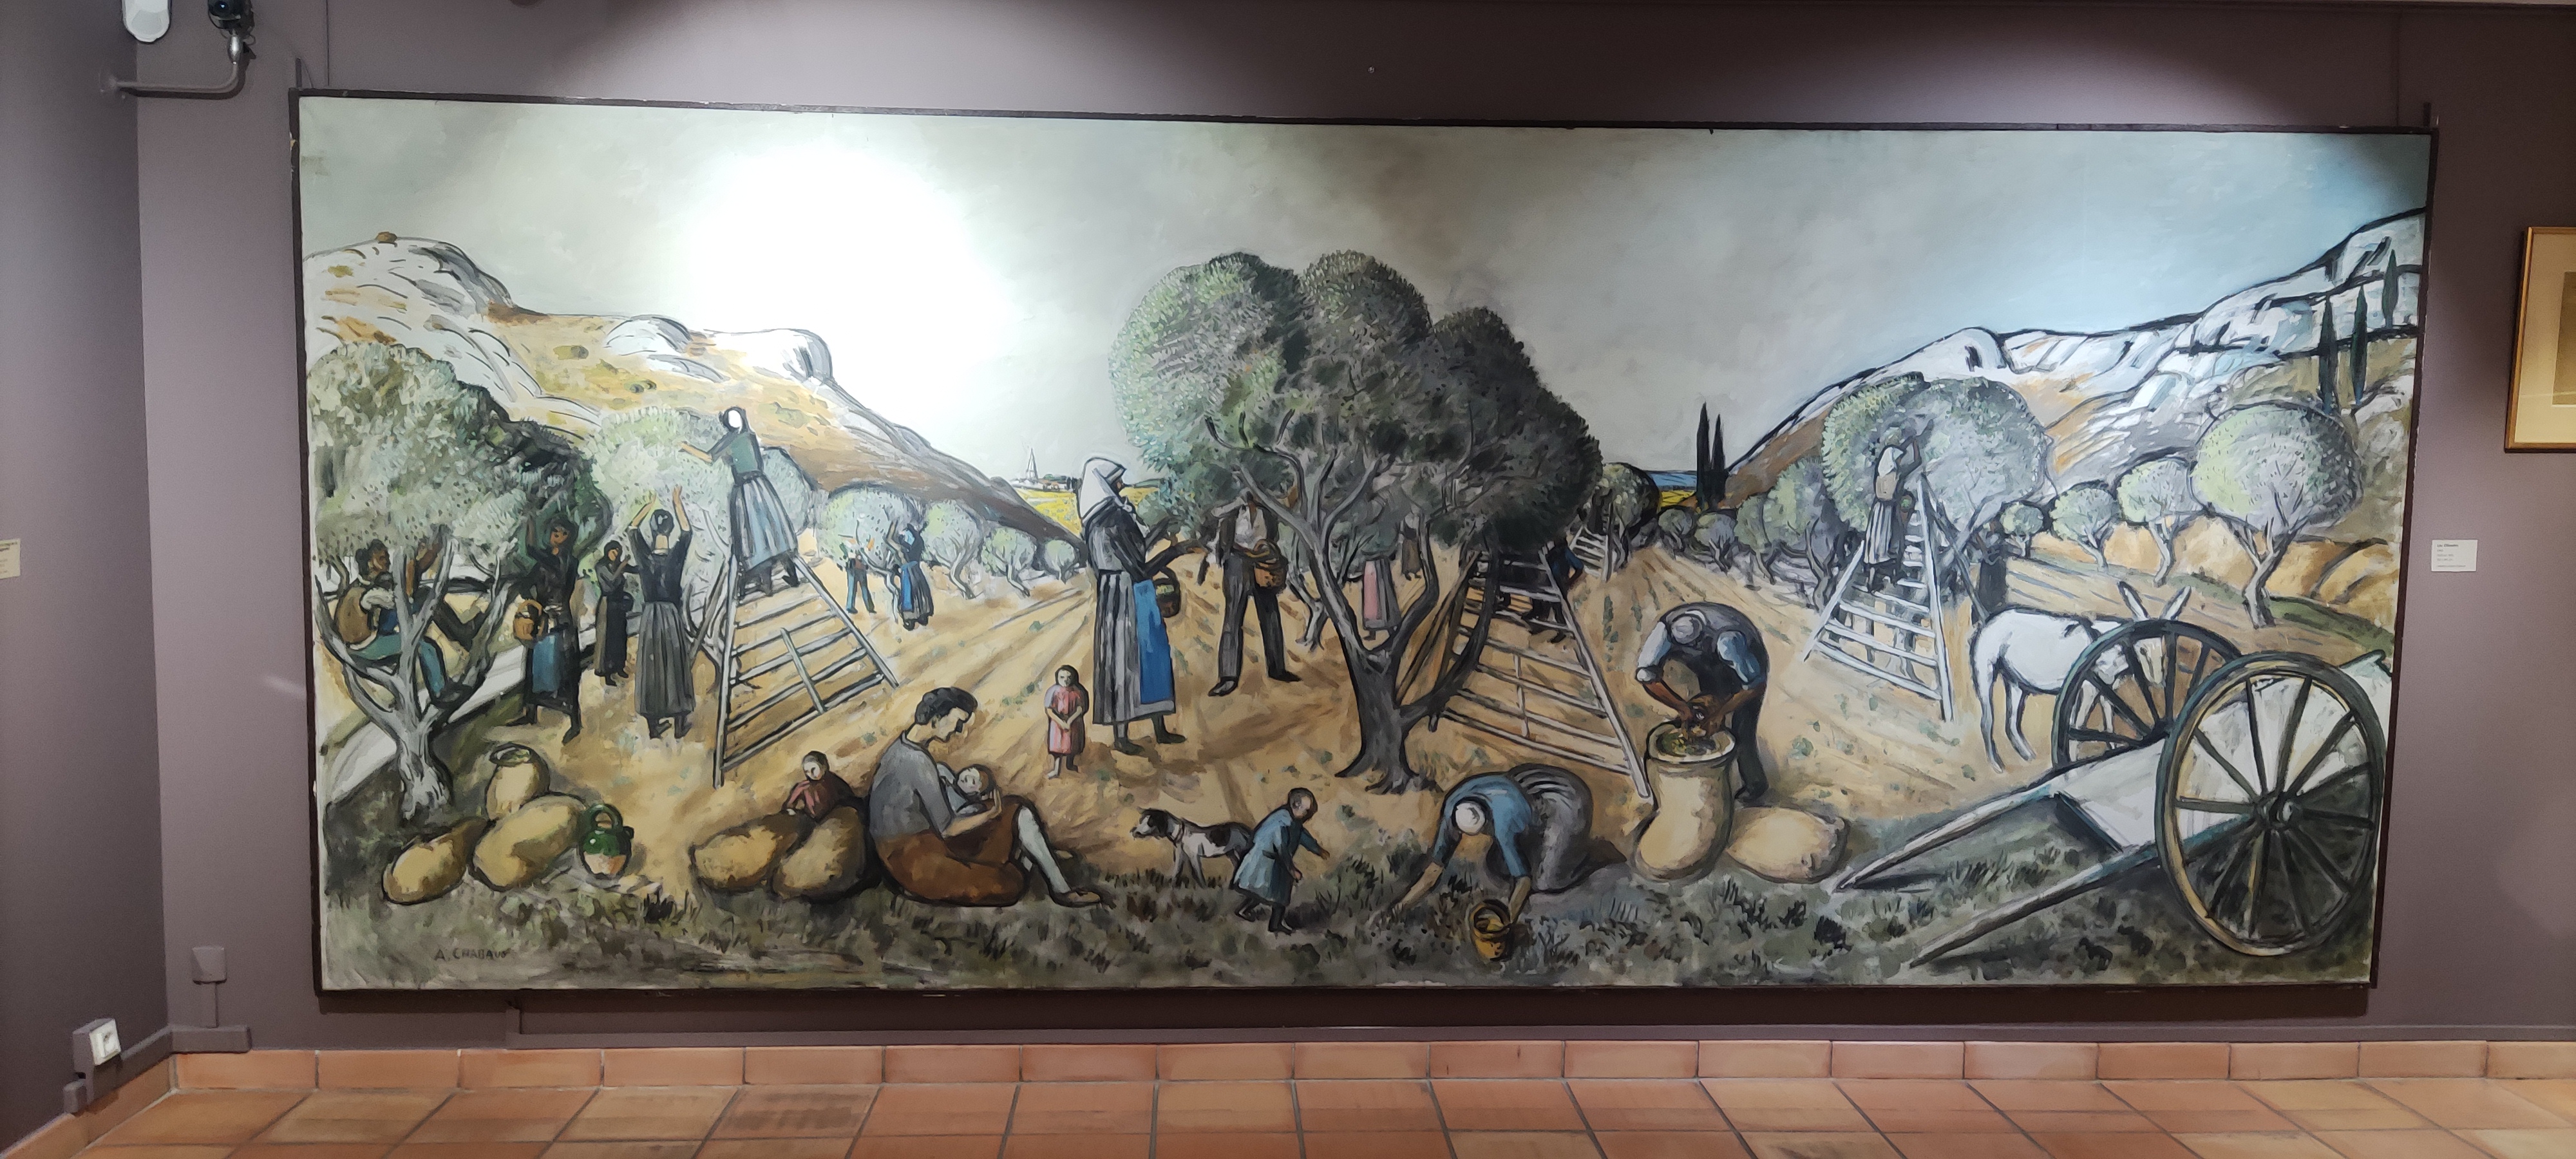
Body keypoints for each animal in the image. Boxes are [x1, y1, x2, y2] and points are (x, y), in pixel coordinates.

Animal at [1131, 809, 1256, 887]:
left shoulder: (1194, 857)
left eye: (1150, 822)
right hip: (1231, 853)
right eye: (1142, 821)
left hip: (1240, 852)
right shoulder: (1180, 856)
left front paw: (1204, 889)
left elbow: (1198, 875)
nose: (1134, 832)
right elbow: (1176, 873)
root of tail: (1245, 829)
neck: (1182, 834)